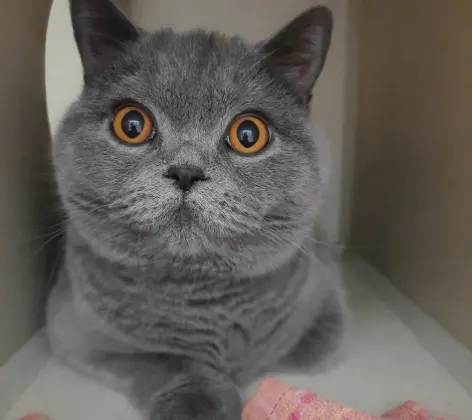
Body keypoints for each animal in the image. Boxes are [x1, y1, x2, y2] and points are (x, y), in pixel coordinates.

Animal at [46, 0, 348, 420]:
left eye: (249, 134)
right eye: (132, 124)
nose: (186, 171)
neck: (205, 300)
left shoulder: (327, 300)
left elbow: (303, 347)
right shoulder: (72, 329)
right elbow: (165, 359)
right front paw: (203, 399)